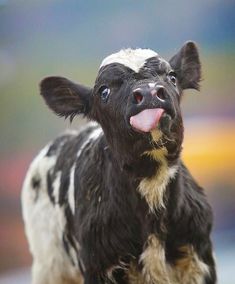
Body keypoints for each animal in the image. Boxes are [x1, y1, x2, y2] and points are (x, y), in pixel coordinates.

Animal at [22, 40, 217, 284]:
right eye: (104, 91)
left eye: (172, 77)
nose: (150, 92)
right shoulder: (99, 266)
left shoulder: (198, 258)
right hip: (48, 267)